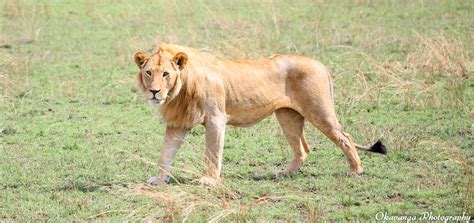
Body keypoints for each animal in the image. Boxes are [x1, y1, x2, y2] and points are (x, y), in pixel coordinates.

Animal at [132, 42, 386, 186]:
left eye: (166, 74)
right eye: (148, 72)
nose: (154, 92)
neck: (179, 90)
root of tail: (321, 64)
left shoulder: (216, 119)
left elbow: (212, 154)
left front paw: (209, 180)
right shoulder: (178, 123)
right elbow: (165, 154)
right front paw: (160, 179)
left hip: (319, 111)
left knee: (345, 138)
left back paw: (356, 171)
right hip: (288, 116)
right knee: (303, 149)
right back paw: (283, 174)